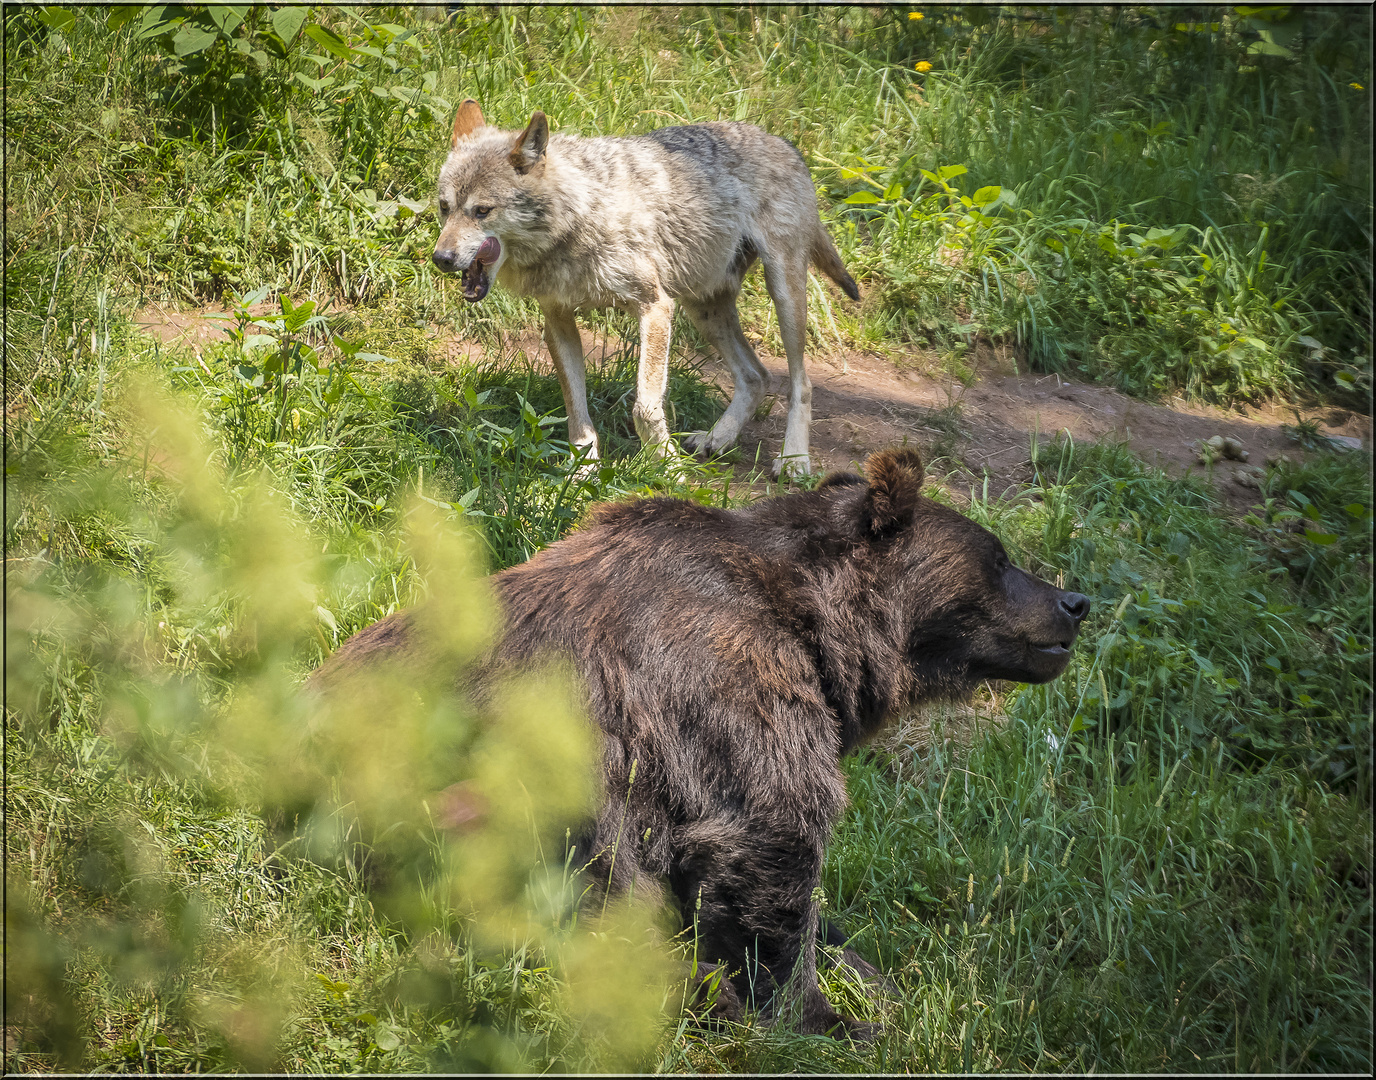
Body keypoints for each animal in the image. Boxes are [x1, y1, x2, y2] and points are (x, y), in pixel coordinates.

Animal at [309, 445, 1084, 1034]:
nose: (1073, 601)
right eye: (1000, 558)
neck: (821, 629)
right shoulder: (720, 680)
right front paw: (823, 1017)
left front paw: (869, 972)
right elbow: (772, 834)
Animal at [432, 101, 858, 481]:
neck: (580, 214)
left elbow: (645, 409)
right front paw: (581, 472)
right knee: (757, 376)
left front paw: (670, 470)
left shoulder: (655, 307)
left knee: (800, 383)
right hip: (702, 310)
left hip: (782, 295)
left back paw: (794, 461)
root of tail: (784, 142)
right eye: (444, 207)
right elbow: (576, 412)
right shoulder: (558, 322)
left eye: (482, 211)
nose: (441, 258)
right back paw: (717, 438)